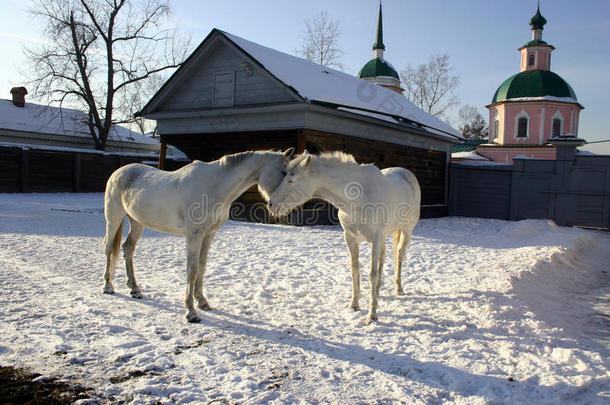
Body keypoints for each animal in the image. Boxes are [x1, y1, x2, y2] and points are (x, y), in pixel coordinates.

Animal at [103, 148, 294, 322]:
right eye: (284, 172)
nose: (282, 206)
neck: (214, 186)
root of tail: (117, 173)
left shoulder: (208, 235)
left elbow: (202, 267)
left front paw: (202, 301)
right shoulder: (194, 235)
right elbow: (192, 270)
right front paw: (191, 312)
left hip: (137, 223)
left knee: (128, 249)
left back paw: (134, 289)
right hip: (114, 217)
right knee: (108, 248)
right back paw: (108, 286)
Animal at [268, 151, 420, 322]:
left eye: (291, 180)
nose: (271, 204)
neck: (358, 198)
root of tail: (406, 173)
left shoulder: (375, 239)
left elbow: (372, 274)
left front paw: (372, 314)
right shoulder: (351, 239)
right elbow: (355, 270)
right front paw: (354, 304)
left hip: (406, 231)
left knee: (399, 255)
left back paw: (398, 288)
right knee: (384, 255)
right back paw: (377, 292)